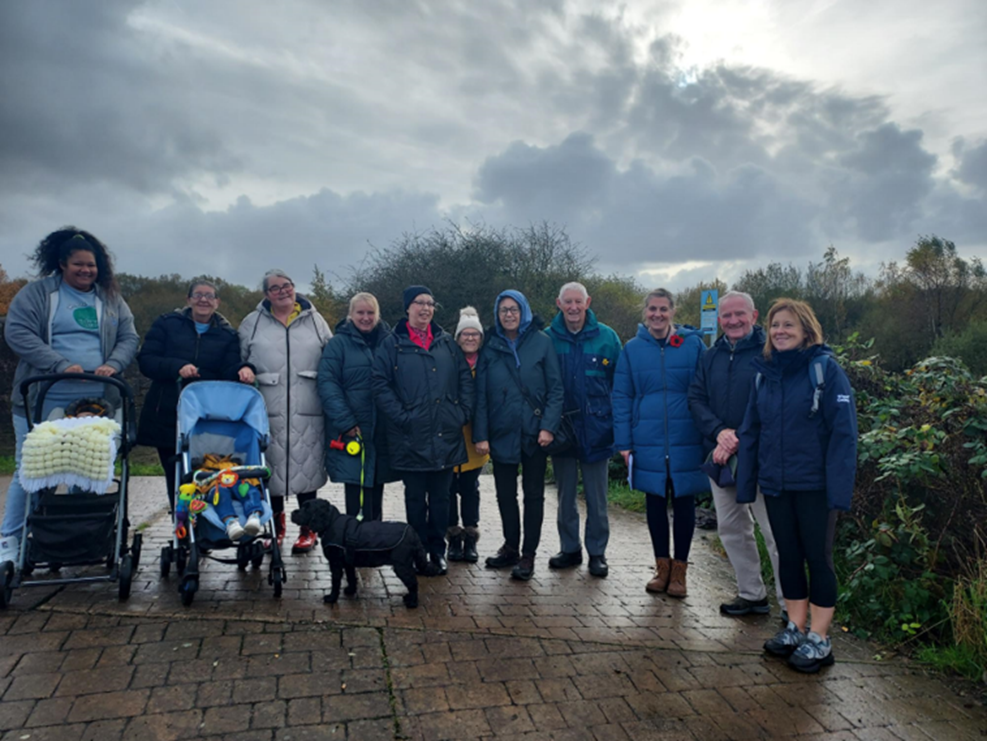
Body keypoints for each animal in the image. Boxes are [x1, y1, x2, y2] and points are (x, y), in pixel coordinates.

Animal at [290, 498, 428, 608]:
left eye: (307, 508)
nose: (292, 513)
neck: (331, 522)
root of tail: (413, 533)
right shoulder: (348, 562)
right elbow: (351, 577)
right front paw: (351, 590)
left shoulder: (335, 563)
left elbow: (335, 581)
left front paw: (331, 598)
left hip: (401, 565)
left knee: (413, 582)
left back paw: (412, 603)